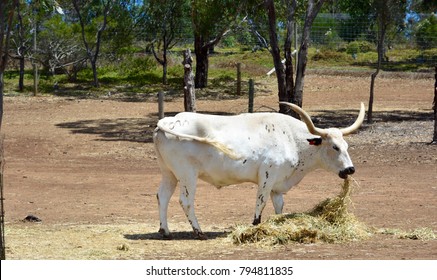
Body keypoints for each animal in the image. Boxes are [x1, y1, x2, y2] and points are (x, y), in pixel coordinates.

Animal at [153, 101, 364, 240]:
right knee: (186, 201)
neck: (292, 139)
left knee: (162, 196)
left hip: (168, 173)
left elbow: (279, 205)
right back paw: (199, 232)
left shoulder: (278, 184)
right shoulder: (267, 176)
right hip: (187, 174)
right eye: (335, 147)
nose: (350, 169)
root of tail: (168, 121)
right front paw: (255, 225)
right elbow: (260, 202)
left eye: (346, 145)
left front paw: (278, 223)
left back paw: (165, 231)